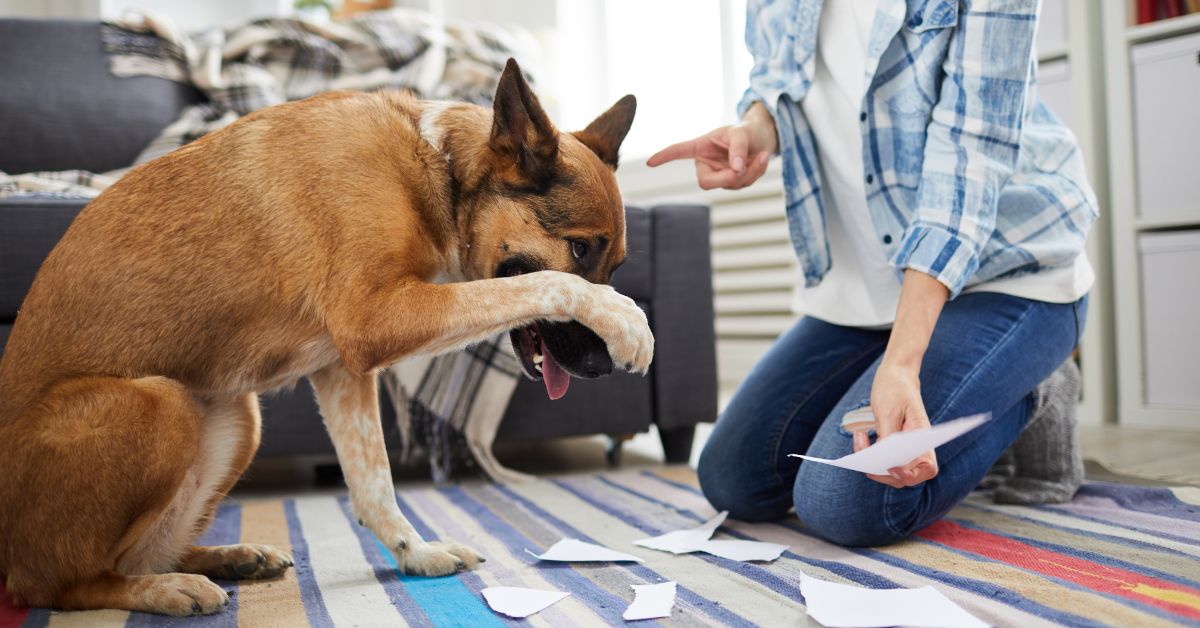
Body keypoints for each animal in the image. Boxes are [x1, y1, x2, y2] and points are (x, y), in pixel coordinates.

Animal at [0, 61, 652, 614]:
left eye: (617, 263)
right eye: (579, 250)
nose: (599, 367)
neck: (437, 166)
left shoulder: (343, 369)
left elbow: (373, 481)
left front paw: (416, 554)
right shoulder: (375, 319)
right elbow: (542, 283)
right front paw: (625, 320)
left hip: (239, 416)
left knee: (138, 554)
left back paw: (228, 558)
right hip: (160, 403)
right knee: (66, 583)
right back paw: (166, 589)